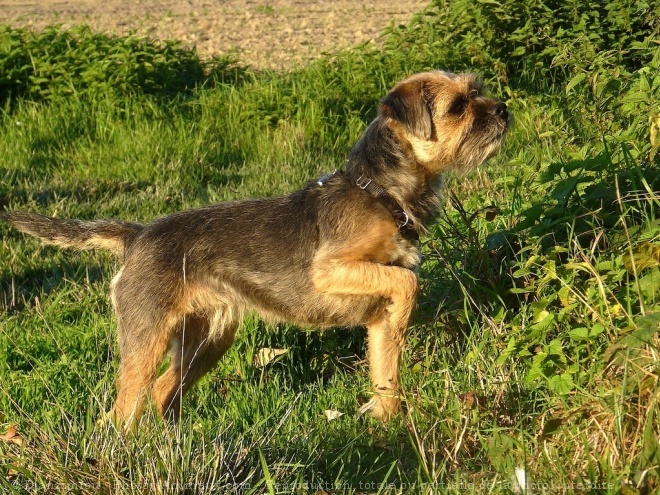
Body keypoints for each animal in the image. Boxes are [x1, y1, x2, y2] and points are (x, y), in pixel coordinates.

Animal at [1, 71, 510, 428]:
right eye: (458, 107)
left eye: (476, 91)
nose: (503, 110)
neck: (379, 191)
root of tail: (138, 235)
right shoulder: (330, 269)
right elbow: (405, 281)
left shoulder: (376, 324)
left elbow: (387, 371)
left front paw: (386, 421)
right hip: (147, 340)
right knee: (122, 410)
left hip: (207, 341)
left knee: (163, 393)